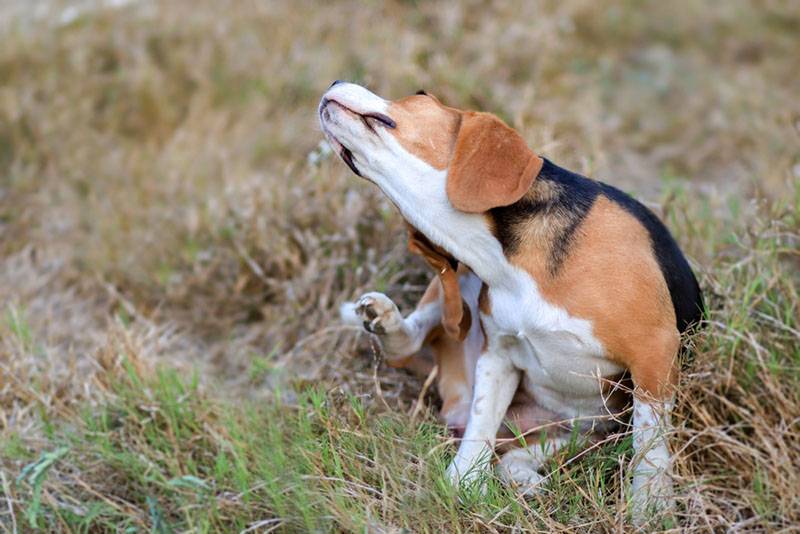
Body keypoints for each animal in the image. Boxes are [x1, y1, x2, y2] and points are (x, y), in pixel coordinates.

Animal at [322, 80, 704, 520]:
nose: (334, 83)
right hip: (457, 290)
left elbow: (650, 448)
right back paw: (383, 321)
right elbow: (479, 427)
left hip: (587, 433)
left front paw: (651, 509)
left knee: (514, 456)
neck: (502, 261)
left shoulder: (654, 353)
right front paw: (460, 484)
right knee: (415, 346)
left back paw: (524, 478)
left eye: (420, 95)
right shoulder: (499, 354)